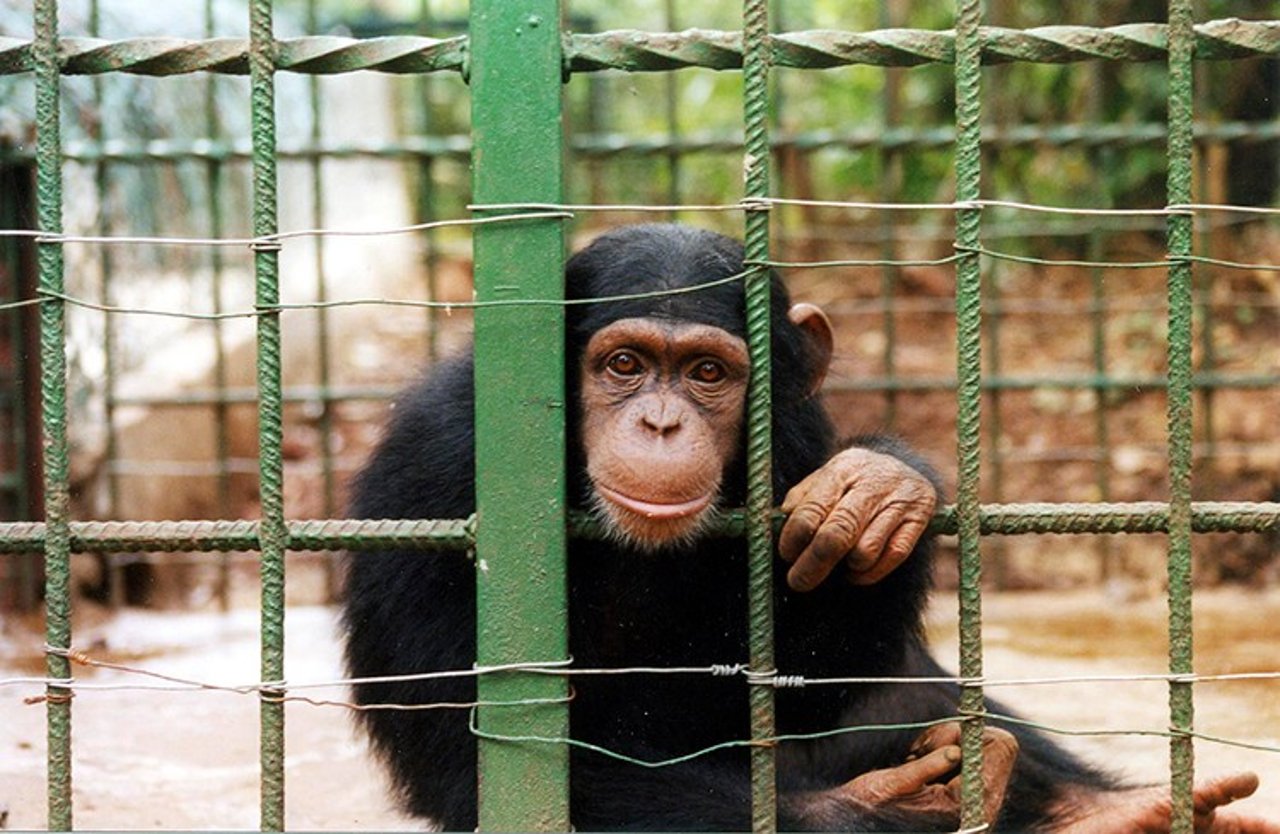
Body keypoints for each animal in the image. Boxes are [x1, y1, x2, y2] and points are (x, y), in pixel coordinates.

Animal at [345, 222, 1274, 834]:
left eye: (707, 373)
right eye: (624, 364)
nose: (660, 424)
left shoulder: (791, 435)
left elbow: (820, 679)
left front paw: (882, 486)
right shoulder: (437, 465)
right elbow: (475, 759)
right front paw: (884, 810)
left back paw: (1112, 811)